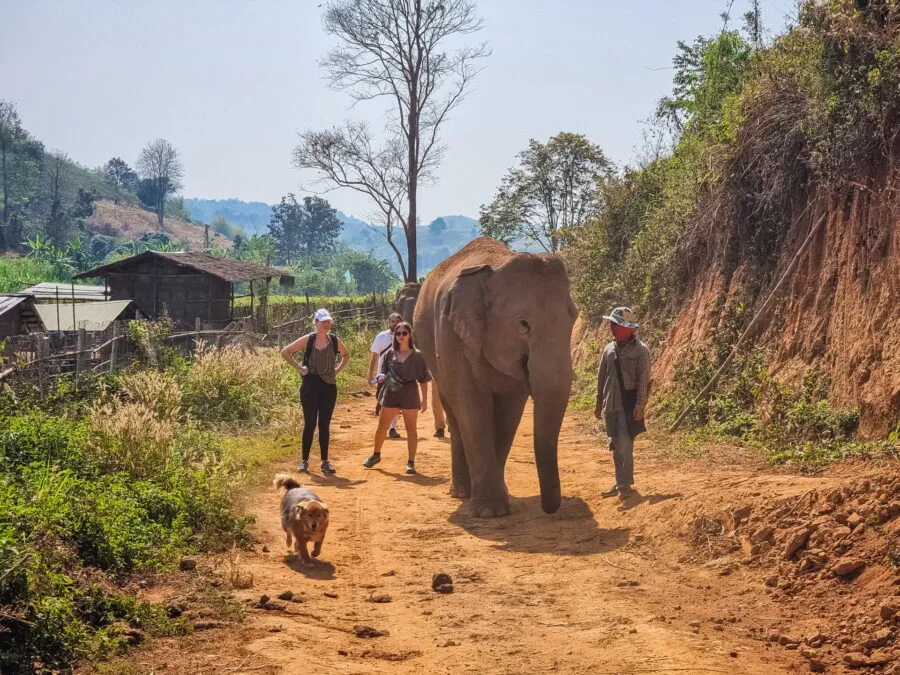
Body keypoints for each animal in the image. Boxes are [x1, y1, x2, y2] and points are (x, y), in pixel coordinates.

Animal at [413, 237, 578, 518]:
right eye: (523, 324)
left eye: (574, 317)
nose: (549, 509)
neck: (497, 264)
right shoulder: (451, 336)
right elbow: (473, 410)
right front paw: (490, 512)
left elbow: (508, 413)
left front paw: (499, 504)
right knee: (455, 414)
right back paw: (461, 493)